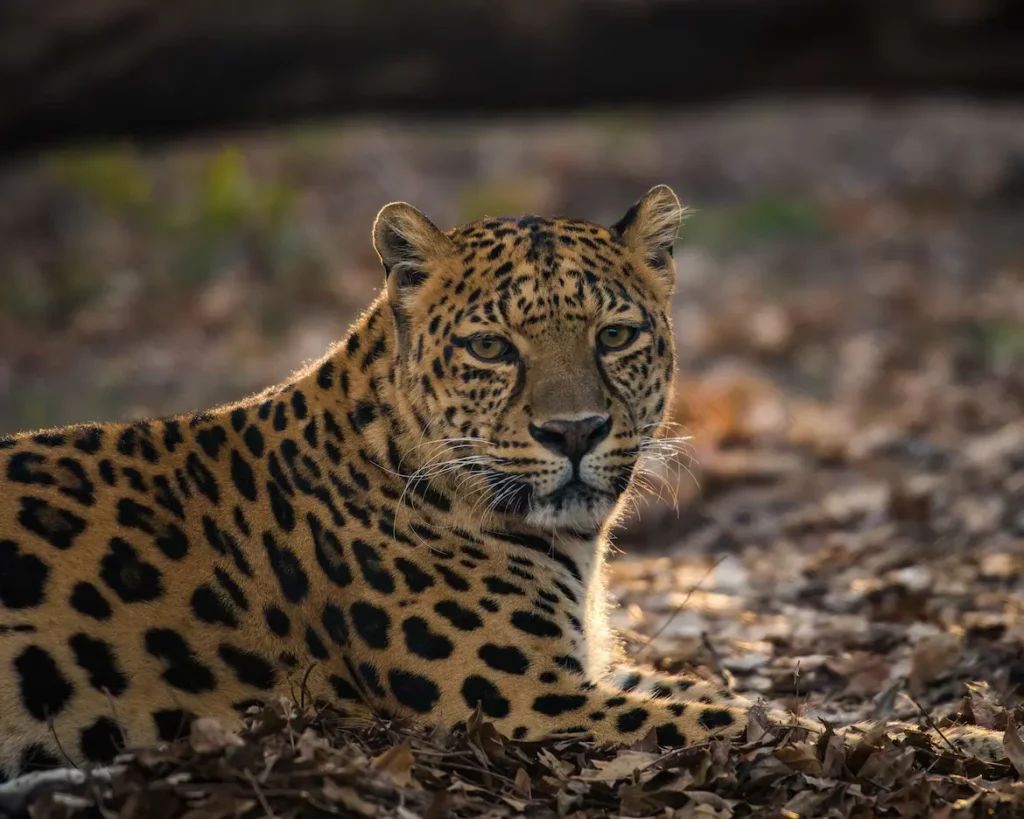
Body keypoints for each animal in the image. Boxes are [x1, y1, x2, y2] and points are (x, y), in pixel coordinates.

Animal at [0, 185, 1009, 779]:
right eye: (492, 346)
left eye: (615, 335)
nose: (575, 431)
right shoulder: (525, 702)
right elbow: (743, 719)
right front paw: (975, 741)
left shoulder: (586, 670)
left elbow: (743, 700)